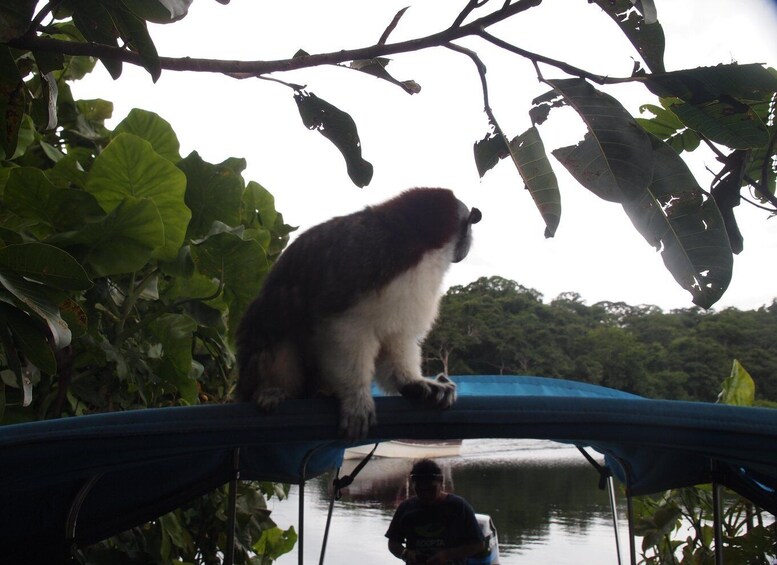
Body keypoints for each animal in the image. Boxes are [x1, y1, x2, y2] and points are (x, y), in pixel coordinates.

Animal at [233, 187, 482, 438]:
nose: (468, 243)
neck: (416, 238)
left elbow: (396, 338)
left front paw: (412, 383)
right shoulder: (363, 266)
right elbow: (345, 329)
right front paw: (356, 397)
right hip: (252, 370)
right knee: (276, 327)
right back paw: (272, 389)